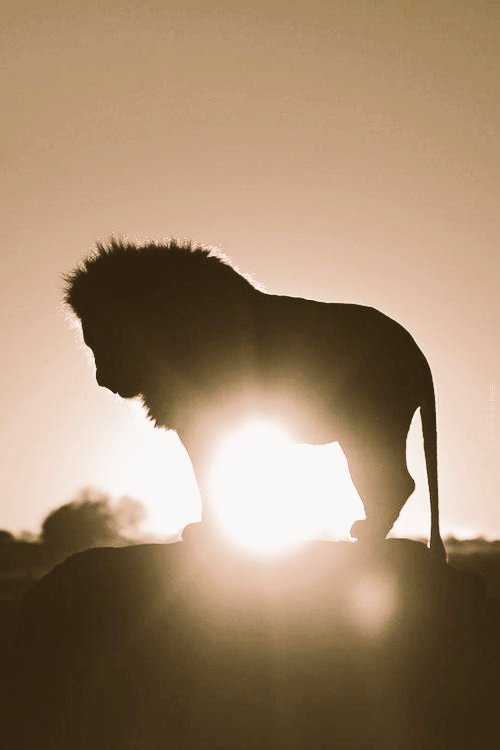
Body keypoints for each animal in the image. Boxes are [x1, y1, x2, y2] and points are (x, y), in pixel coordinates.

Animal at [64, 238, 445, 558]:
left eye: (106, 338)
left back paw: (368, 535)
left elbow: (210, 476)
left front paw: (211, 534)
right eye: (91, 342)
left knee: (397, 482)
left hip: (369, 427)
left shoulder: (206, 419)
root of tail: (416, 351)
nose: (103, 380)